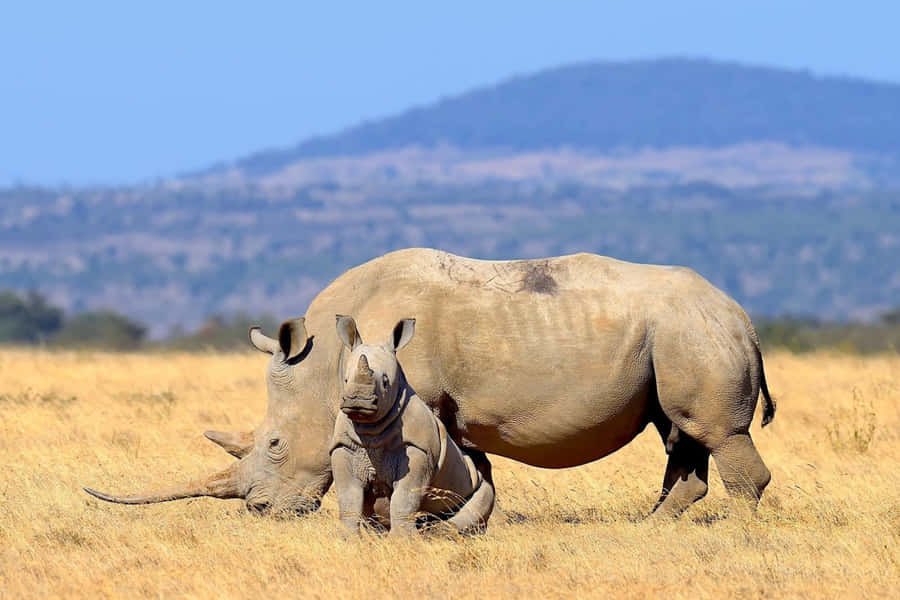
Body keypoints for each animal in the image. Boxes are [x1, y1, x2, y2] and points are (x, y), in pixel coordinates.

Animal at [331, 316, 494, 534]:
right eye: (346, 380)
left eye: (386, 382)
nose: (358, 402)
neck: (369, 427)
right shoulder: (344, 446)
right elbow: (348, 497)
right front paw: (346, 537)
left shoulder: (418, 449)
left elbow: (405, 497)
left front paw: (401, 539)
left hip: (477, 481)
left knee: (478, 500)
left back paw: (437, 532)